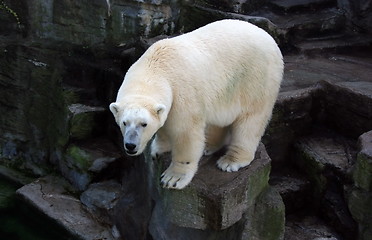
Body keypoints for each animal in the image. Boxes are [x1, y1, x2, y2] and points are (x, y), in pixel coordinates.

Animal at [109, 19, 284, 189]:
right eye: (124, 122)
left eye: (144, 124)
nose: (130, 145)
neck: (156, 67)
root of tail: (269, 37)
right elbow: (165, 123)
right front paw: (159, 150)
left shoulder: (182, 93)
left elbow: (184, 133)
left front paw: (173, 178)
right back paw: (208, 146)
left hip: (257, 78)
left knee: (251, 120)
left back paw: (231, 160)